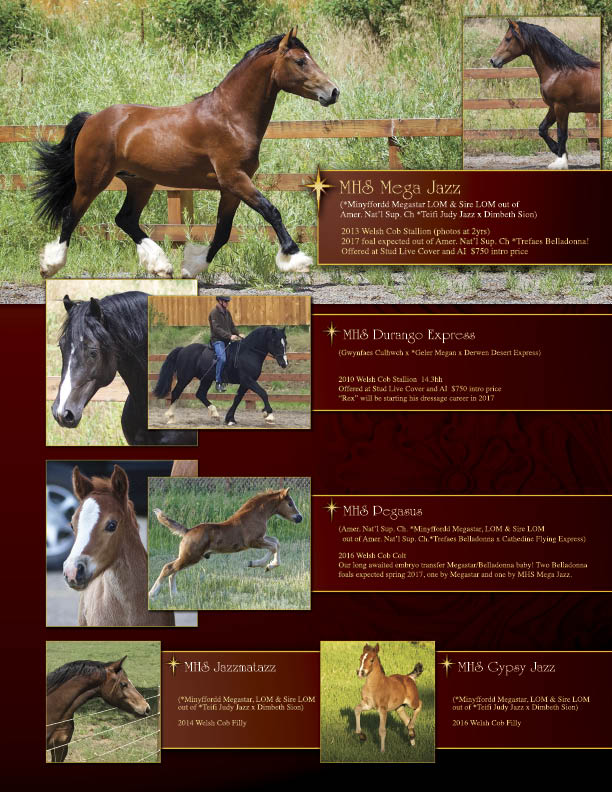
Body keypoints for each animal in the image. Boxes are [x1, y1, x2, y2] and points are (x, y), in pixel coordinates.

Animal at [33, 28, 338, 279]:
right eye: (300, 61)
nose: (333, 91)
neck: (230, 117)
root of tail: (92, 119)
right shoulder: (234, 179)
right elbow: (271, 211)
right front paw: (296, 259)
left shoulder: (231, 188)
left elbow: (222, 232)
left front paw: (191, 267)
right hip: (92, 181)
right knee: (71, 215)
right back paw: (51, 265)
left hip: (140, 182)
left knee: (126, 219)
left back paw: (160, 265)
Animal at [149, 488, 302, 600]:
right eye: (290, 503)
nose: (300, 518)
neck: (255, 515)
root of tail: (188, 531)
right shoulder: (253, 541)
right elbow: (274, 546)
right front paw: (264, 565)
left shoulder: (261, 538)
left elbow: (276, 542)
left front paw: (263, 565)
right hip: (191, 556)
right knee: (168, 568)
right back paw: (153, 593)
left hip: (190, 557)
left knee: (173, 570)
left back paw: (175, 594)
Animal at [152, 326, 288, 427]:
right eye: (275, 342)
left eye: (285, 343)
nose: (284, 363)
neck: (248, 352)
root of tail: (183, 349)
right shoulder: (248, 380)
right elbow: (263, 393)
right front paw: (269, 415)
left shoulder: (245, 383)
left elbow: (237, 399)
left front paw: (230, 419)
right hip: (185, 378)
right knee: (176, 392)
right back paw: (171, 417)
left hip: (206, 379)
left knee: (200, 394)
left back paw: (214, 414)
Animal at [489, 19, 600, 169]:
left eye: (508, 38)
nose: (493, 60)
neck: (560, 71)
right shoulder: (553, 107)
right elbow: (542, 129)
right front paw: (558, 150)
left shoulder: (561, 107)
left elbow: (561, 134)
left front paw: (560, 161)